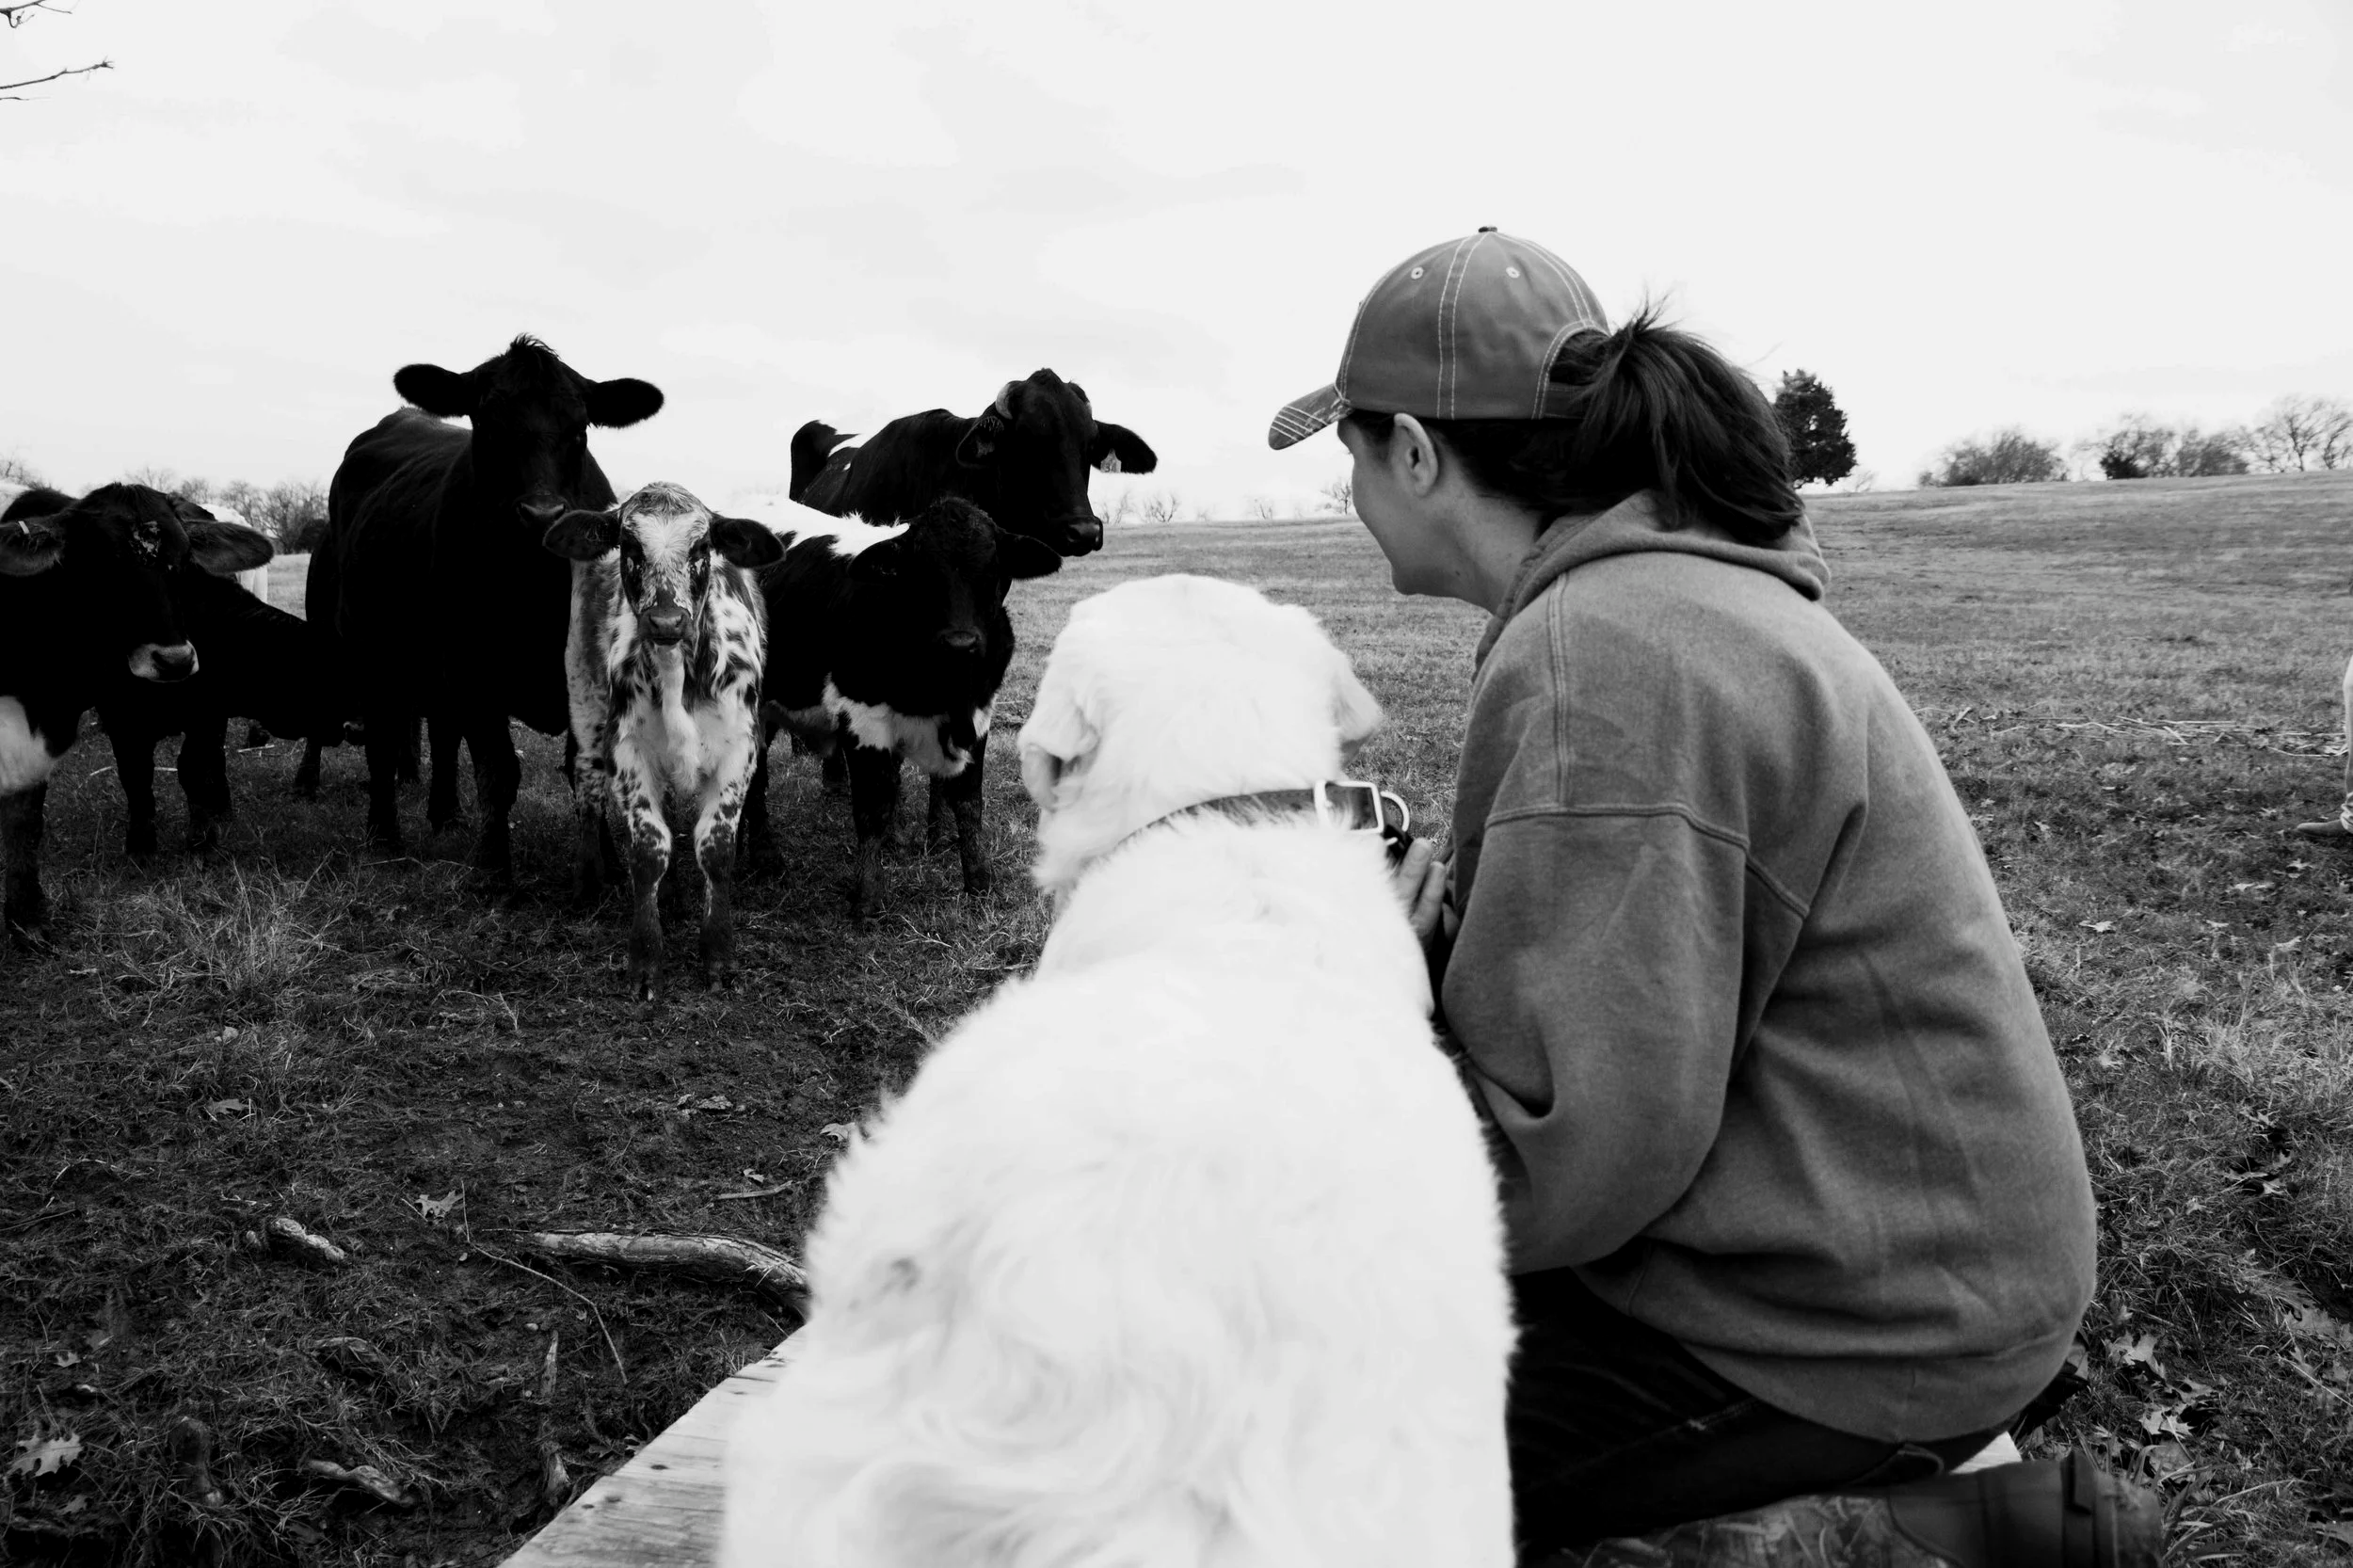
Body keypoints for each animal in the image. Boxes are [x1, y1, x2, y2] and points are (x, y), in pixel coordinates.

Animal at [1, 484, 274, 942]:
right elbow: (135, 777)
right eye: (102, 567)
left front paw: (203, 842)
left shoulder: (206, 710)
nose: (174, 660)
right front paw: (141, 846)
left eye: (185, 562)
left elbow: (194, 768)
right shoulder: (117, 718)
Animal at [308, 335, 662, 885]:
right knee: (383, 740)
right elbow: (497, 770)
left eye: (579, 428)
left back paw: (446, 815)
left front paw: (606, 863)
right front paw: (493, 868)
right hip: (368, 647)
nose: (541, 514)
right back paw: (383, 836)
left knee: (441, 732)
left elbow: (586, 766)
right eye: (488, 424)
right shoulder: (472, 666)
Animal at [542, 482, 783, 1001]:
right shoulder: (627, 750)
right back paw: (588, 882)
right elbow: (649, 850)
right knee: (587, 786)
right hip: (584, 700)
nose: (667, 621)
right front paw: (645, 960)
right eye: (630, 546)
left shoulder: (739, 749)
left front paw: (718, 955)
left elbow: (714, 848)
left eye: (701, 547)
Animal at [740, 496, 1061, 918]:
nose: (961, 643)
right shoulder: (862, 718)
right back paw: (765, 859)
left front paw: (979, 882)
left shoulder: (978, 717)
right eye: (920, 575)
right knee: (754, 778)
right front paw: (868, 895)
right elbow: (872, 805)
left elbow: (968, 803)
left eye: (993, 571)